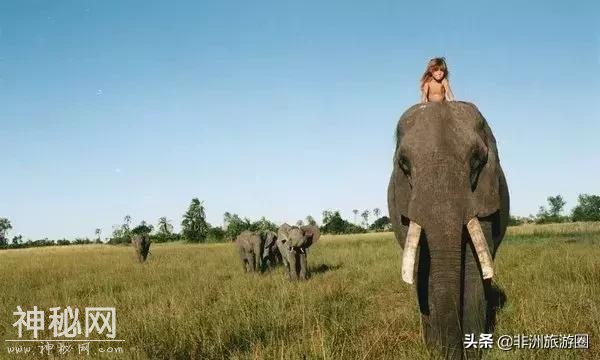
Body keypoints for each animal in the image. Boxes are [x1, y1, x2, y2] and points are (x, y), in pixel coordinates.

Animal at [386, 102, 508, 360]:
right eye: (404, 164)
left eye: (476, 160)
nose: (450, 351)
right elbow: (424, 268)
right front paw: (435, 349)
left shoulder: (484, 195)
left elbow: (473, 267)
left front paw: (473, 350)